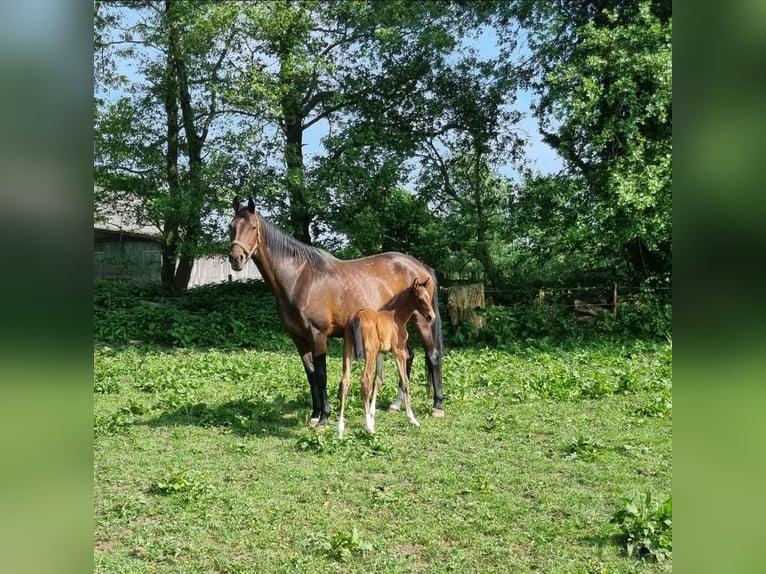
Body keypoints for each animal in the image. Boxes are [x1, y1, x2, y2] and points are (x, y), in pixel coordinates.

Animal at [337, 278, 435, 438]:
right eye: (420, 299)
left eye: (429, 297)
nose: (431, 317)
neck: (396, 316)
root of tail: (356, 317)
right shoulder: (399, 352)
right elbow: (405, 381)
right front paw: (412, 419)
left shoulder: (381, 353)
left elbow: (378, 380)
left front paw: (372, 414)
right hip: (369, 353)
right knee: (364, 380)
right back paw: (368, 427)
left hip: (348, 352)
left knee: (345, 381)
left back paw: (339, 429)